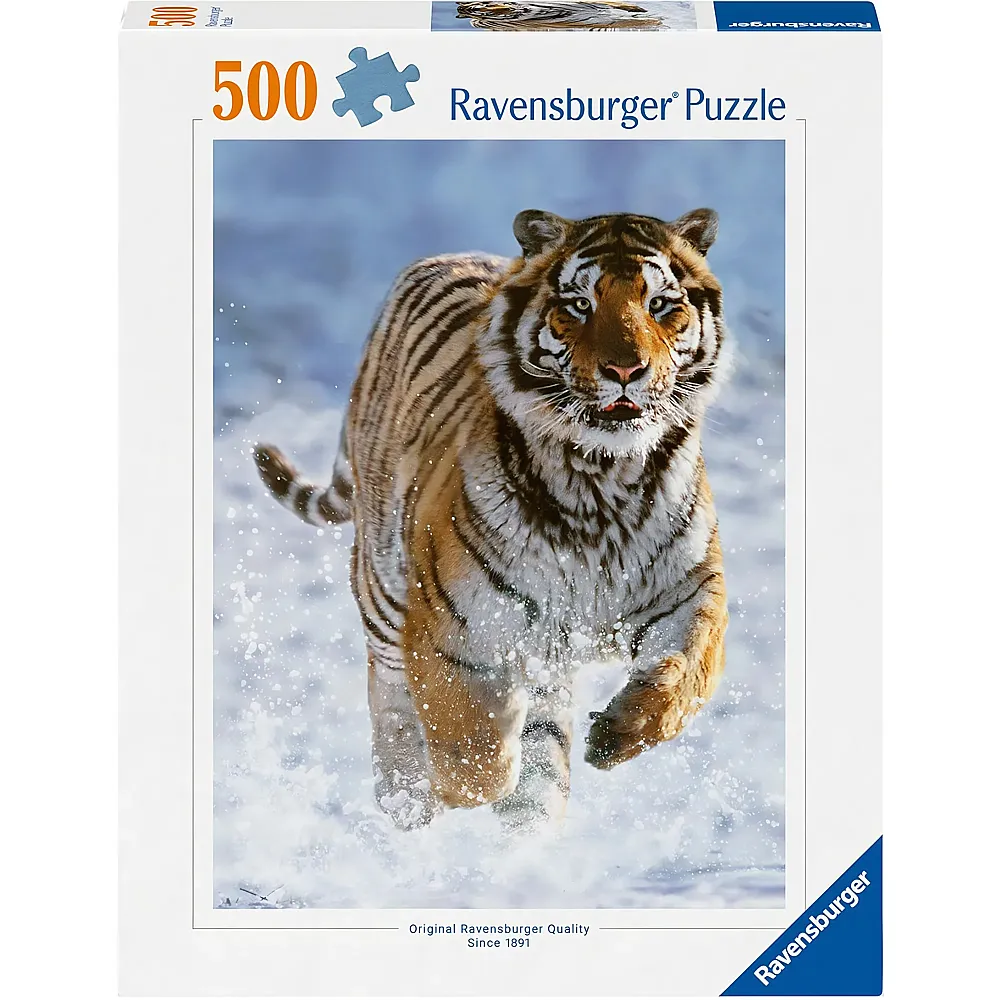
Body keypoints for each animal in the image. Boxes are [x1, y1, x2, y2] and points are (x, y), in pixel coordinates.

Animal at [255, 208, 730, 831]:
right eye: (580, 305)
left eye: (660, 304)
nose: (626, 369)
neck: (602, 480)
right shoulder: (451, 627)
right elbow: (475, 758)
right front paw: (453, 786)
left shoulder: (691, 590)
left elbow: (688, 673)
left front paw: (617, 735)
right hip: (382, 591)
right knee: (390, 698)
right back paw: (406, 801)